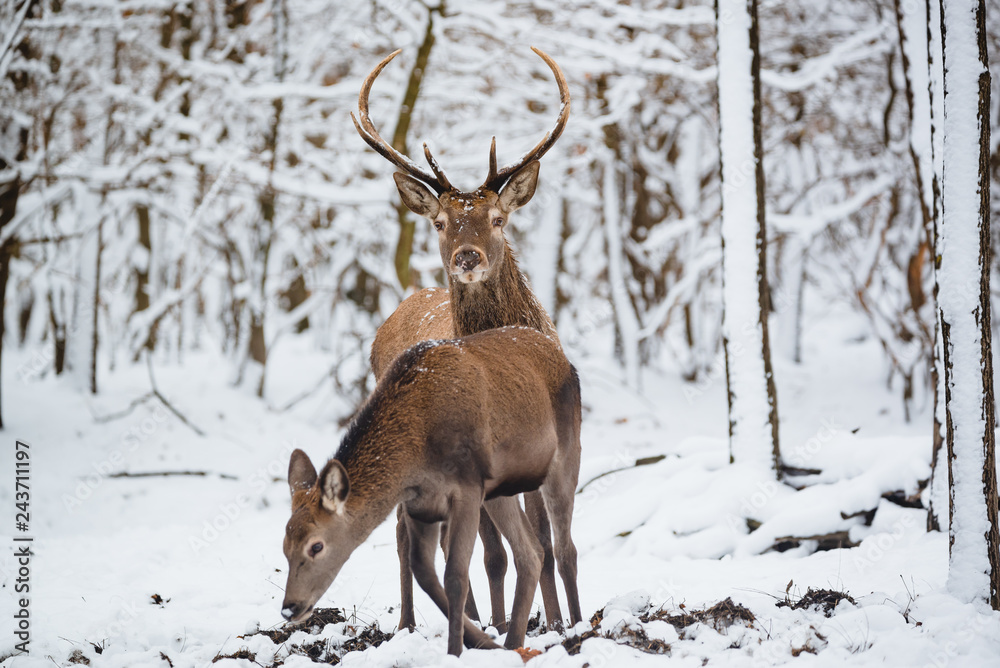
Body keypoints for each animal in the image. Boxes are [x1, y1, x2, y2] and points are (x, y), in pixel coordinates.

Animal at [280, 326, 582, 656]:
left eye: (316, 546)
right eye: (284, 547)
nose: (289, 608)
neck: (416, 456)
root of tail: (562, 356)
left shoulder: (467, 489)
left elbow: (456, 577)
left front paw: (456, 651)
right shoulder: (421, 504)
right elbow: (425, 573)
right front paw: (480, 640)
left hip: (565, 457)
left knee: (565, 549)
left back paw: (576, 627)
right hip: (500, 490)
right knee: (531, 552)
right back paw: (513, 644)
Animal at [352, 47, 578, 634]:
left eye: (497, 218)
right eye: (440, 222)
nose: (467, 256)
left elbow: (546, 542)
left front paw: (558, 622)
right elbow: (495, 551)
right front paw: (504, 622)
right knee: (408, 534)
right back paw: (414, 623)